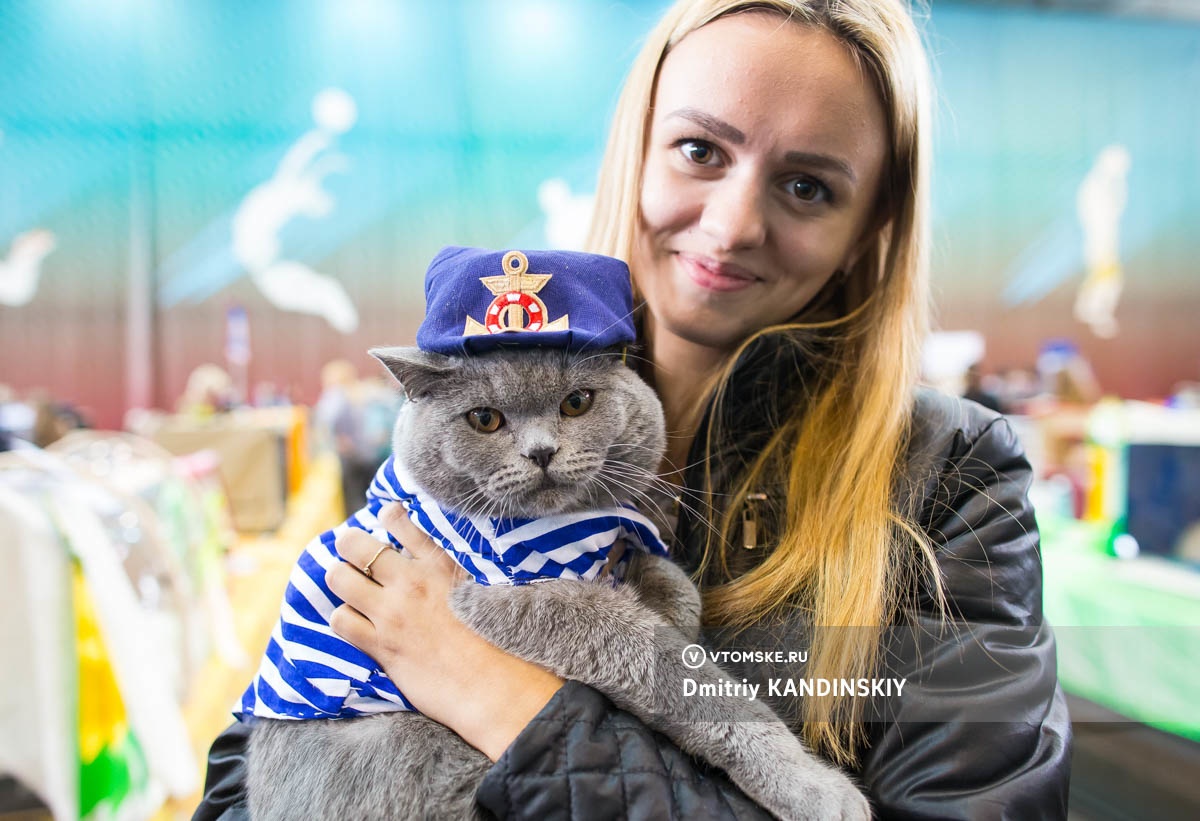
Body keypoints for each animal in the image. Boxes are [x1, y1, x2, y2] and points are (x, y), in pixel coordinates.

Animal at [242, 247, 869, 820]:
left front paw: (674, 609)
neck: (571, 526)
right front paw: (816, 788)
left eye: (577, 402)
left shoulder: (617, 537)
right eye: (485, 419)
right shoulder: (504, 597)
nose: (541, 452)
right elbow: (661, 664)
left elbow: (660, 571)